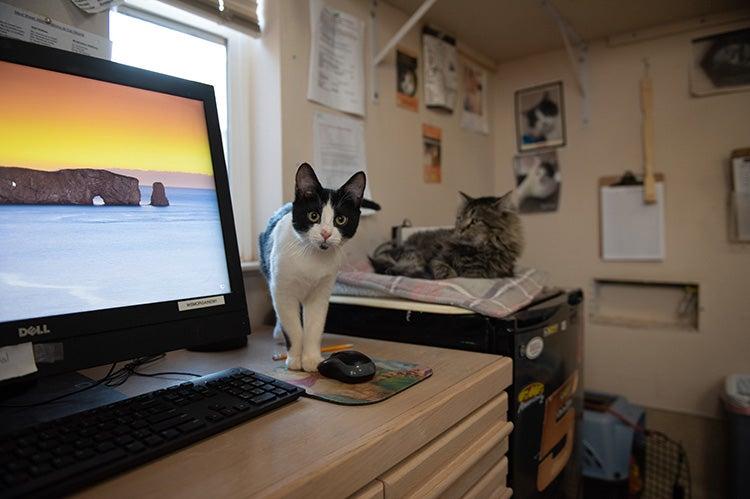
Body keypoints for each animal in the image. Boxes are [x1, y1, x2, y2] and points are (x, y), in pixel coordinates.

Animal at [262, 164, 374, 372]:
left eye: (340, 219)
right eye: (313, 215)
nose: (326, 233)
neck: (311, 256)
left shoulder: (322, 291)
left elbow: (314, 325)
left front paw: (312, 359)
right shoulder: (282, 290)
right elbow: (292, 326)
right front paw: (294, 359)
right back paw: (279, 334)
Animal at [370, 191, 524, 280]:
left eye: (475, 221)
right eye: (460, 218)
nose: (460, 229)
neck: (478, 250)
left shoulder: (494, 272)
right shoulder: (437, 258)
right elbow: (441, 266)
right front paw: (447, 275)